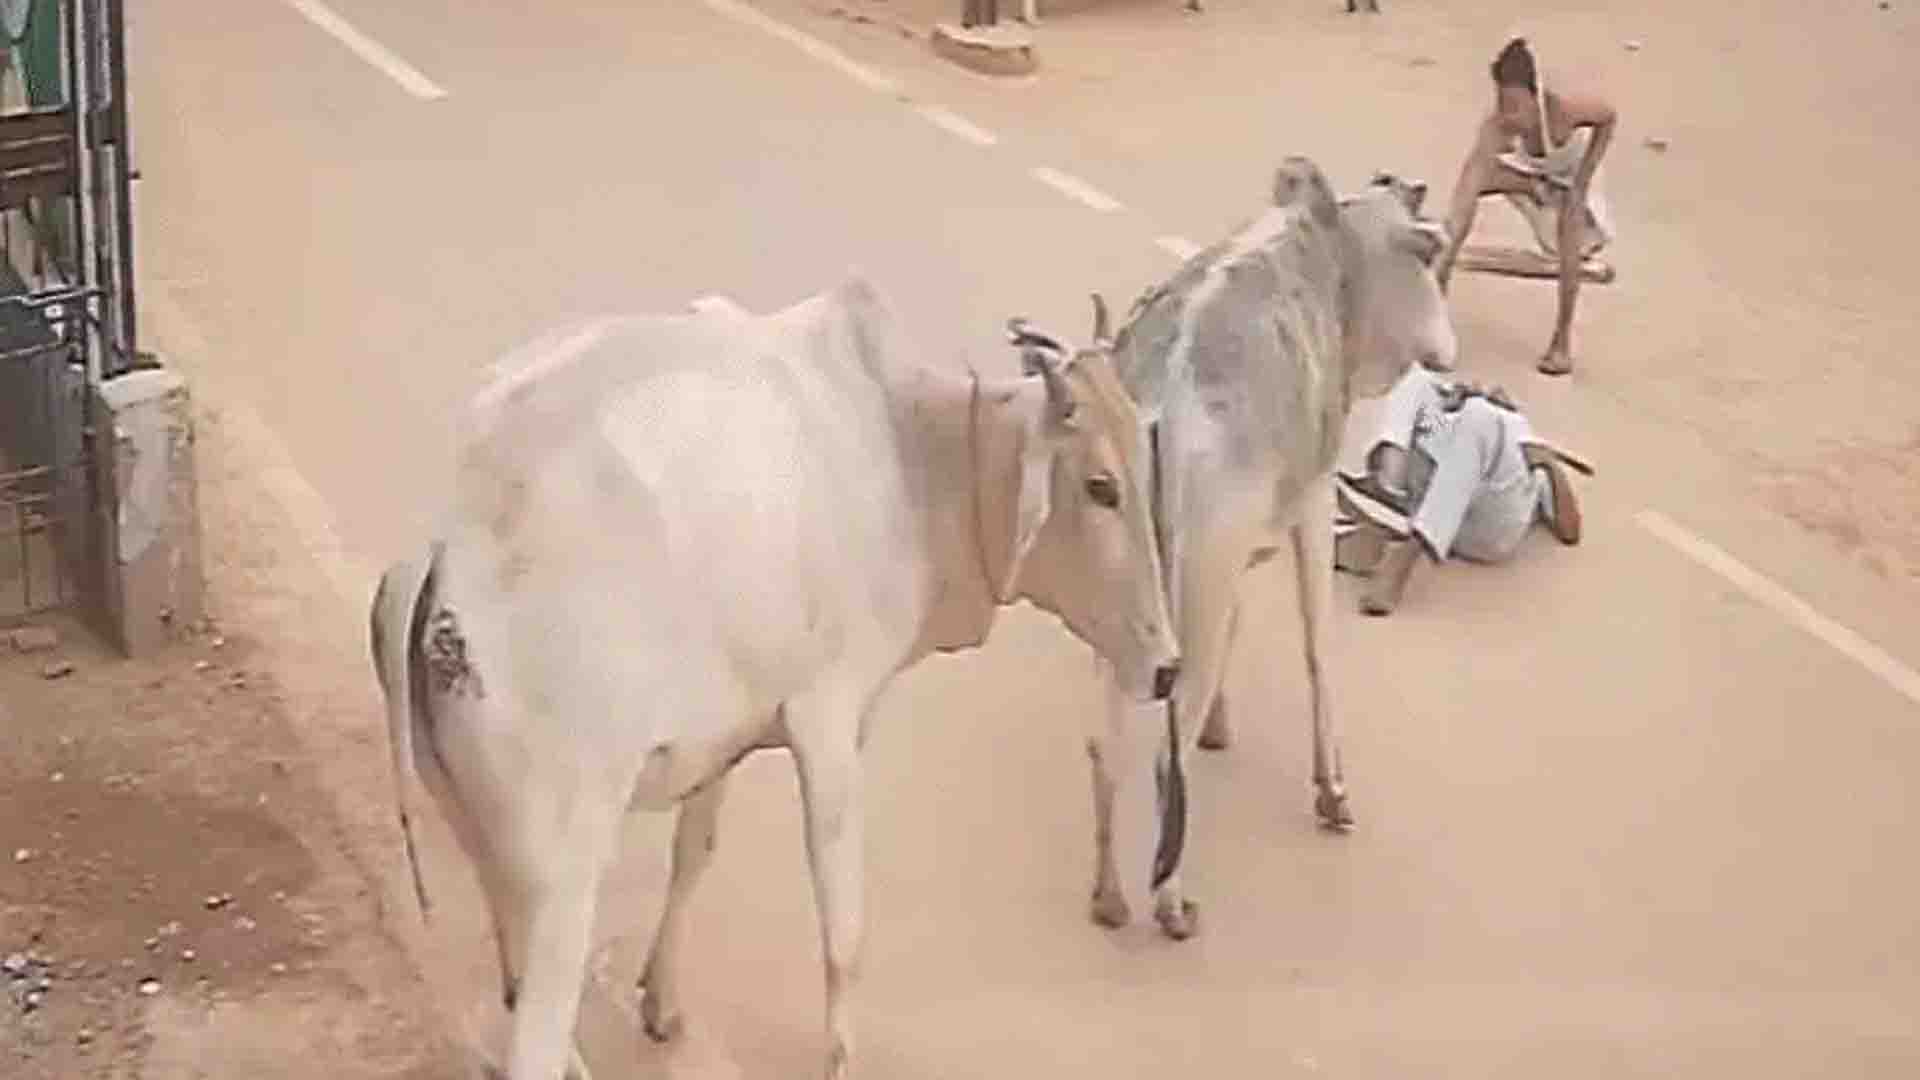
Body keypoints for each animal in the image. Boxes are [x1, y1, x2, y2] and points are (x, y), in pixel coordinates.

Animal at [368, 276, 1182, 1080]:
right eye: (1102, 486)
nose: (1169, 667)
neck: (914, 452)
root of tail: (448, 549)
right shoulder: (830, 722)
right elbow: (844, 929)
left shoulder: (720, 731)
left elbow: (694, 852)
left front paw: (661, 1001)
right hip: (563, 876)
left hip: (486, 840)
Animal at [1082, 159, 1456, 940]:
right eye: (1429, 255)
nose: (1446, 353)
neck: (1336, 260)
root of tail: (1156, 403)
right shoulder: (1312, 496)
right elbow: (1318, 648)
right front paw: (1332, 791)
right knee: (1166, 755)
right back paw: (1170, 901)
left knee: (1108, 747)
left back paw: (1108, 894)